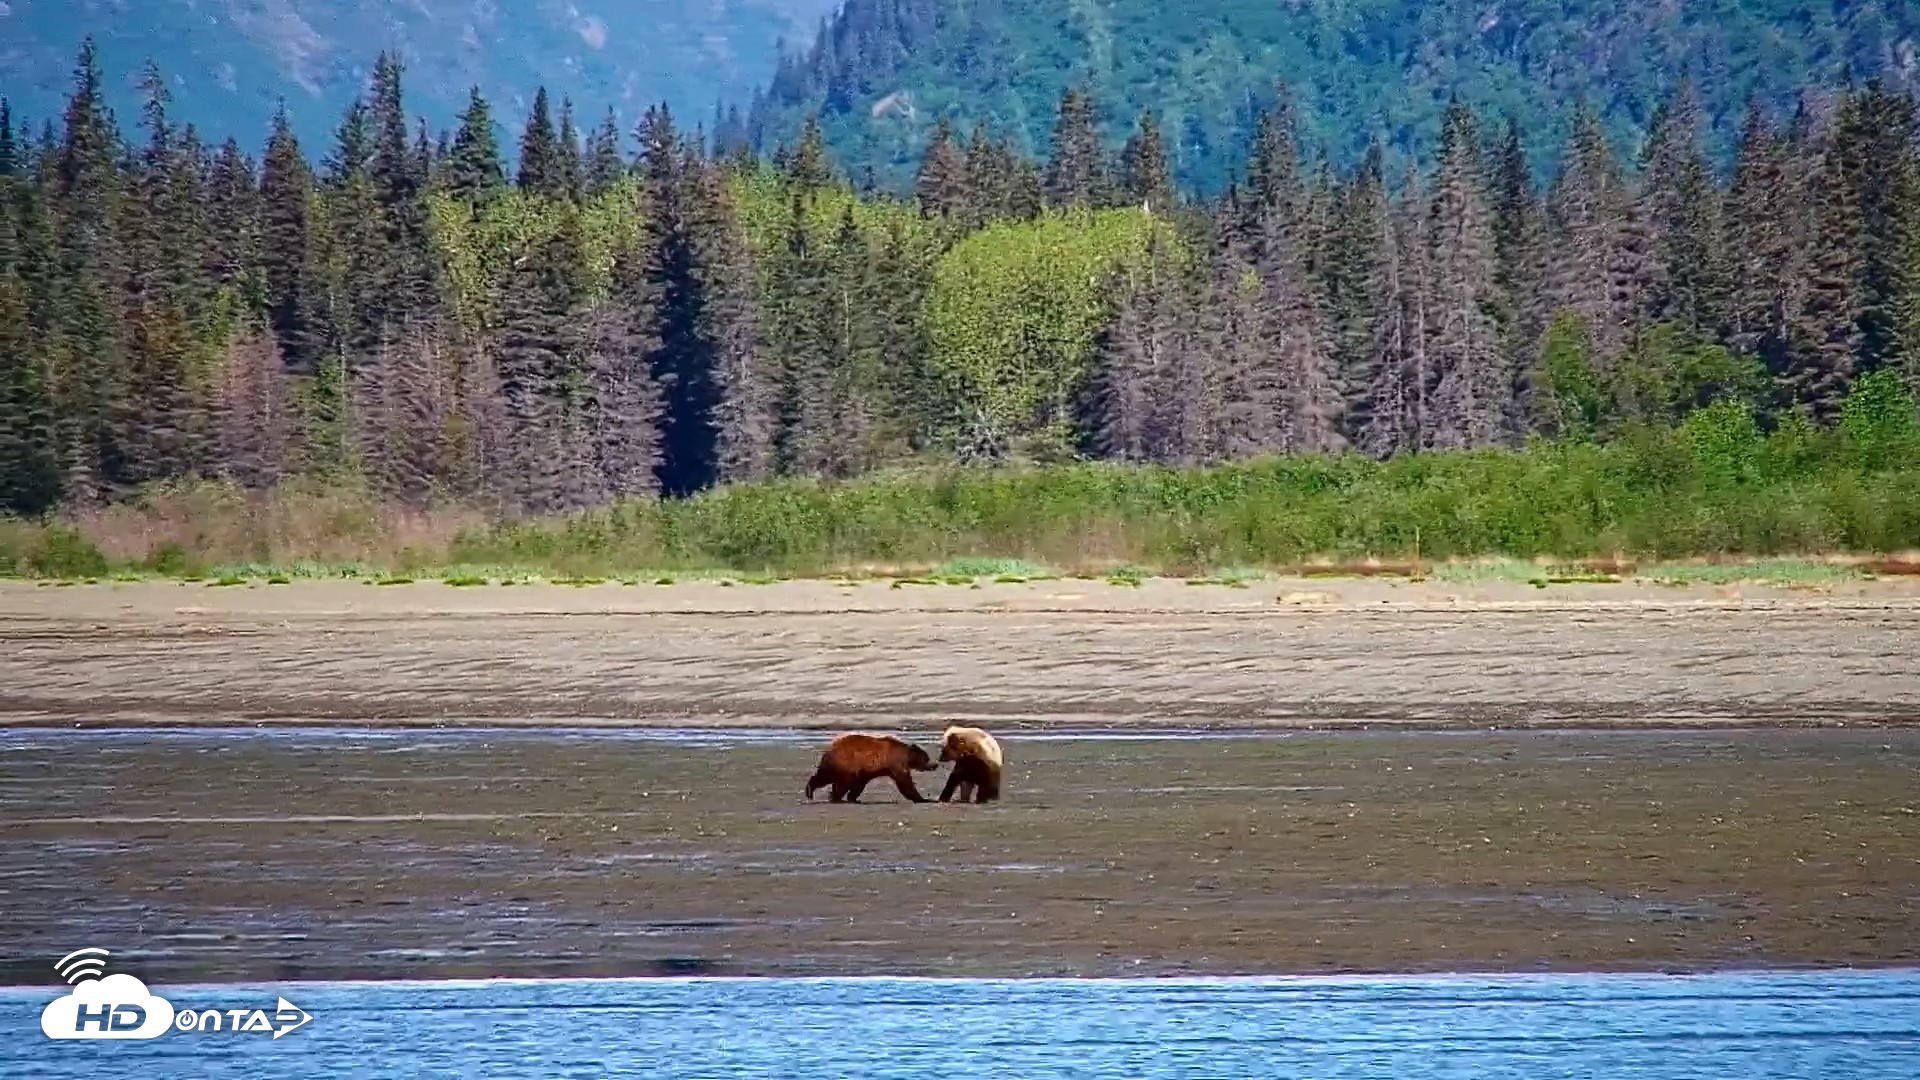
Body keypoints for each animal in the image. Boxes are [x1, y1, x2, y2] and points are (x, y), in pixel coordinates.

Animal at [804, 732, 937, 803]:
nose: (934, 765)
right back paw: (817, 793)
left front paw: (853, 798)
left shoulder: (868, 771)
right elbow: (905, 782)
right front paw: (923, 798)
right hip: (843, 763)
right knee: (828, 778)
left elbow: (859, 785)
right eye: (926, 758)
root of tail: (830, 750)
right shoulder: (895, 764)